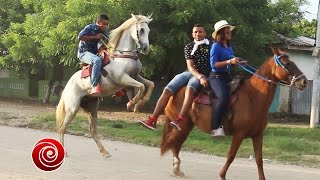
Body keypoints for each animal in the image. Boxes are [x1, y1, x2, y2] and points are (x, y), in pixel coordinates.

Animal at [56, 14, 154, 158]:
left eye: (148, 30)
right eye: (141, 30)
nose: (146, 48)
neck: (122, 57)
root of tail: (67, 87)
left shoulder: (135, 76)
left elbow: (149, 84)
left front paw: (139, 103)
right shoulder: (123, 79)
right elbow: (141, 87)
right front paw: (131, 104)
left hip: (92, 108)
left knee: (92, 131)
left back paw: (105, 152)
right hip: (73, 109)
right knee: (62, 128)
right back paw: (65, 152)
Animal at [161, 47, 308, 180]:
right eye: (287, 63)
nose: (304, 81)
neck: (254, 97)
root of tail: (174, 92)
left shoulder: (258, 135)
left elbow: (259, 160)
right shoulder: (239, 134)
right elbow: (231, 156)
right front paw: (222, 176)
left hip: (187, 126)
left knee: (176, 144)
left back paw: (177, 170)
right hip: (182, 125)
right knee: (174, 143)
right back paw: (176, 168)